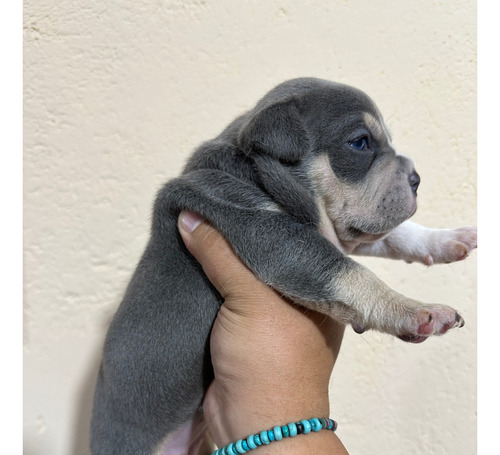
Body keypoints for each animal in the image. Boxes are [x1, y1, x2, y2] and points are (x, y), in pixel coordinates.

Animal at [90, 79, 476, 455]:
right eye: (360, 143)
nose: (416, 178)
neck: (258, 172)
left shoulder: (340, 232)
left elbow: (396, 234)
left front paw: (449, 239)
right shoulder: (268, 232)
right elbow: (350, 273)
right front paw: (417, 311)